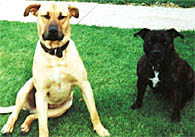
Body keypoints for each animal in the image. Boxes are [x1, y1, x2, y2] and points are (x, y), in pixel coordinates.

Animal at [0, 3, 109, 137]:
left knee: (32, 115)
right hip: (26, 89)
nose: (53, 31)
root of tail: (29, 107)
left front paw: (100, 129)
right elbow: (43, 126)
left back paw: (25, 125)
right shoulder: (41, 93)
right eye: (45, 16)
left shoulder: (84, 84)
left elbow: (93, 112)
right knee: (15, 112)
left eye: (62, 17)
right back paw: (8, 126)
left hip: (60, 109)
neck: (56, 53)